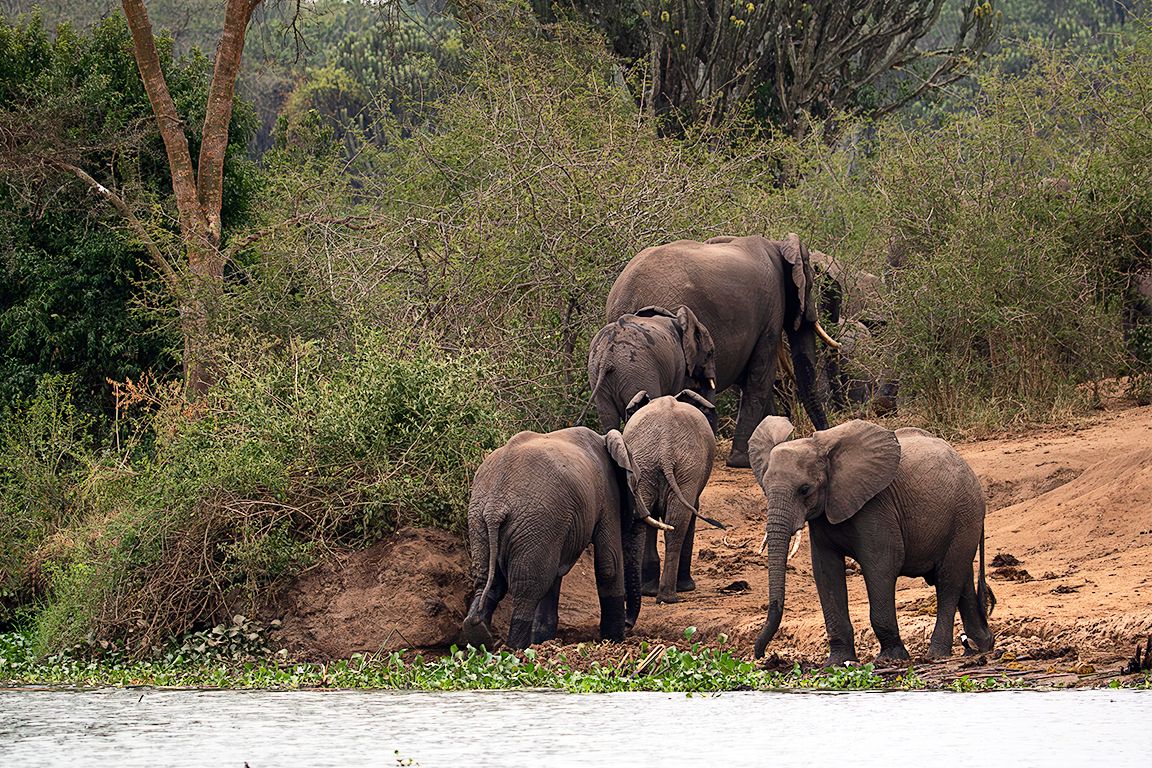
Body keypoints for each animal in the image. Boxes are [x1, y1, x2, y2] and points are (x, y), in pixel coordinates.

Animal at [458, 426, 671, 650]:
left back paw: (479, 634)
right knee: (527, 589)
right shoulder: (607, 494)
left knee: (489, 582)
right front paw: (613, 640)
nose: (629, 626)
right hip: (535, 521)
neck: (605, 439)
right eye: (636, 484)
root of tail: (495, 507)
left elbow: (556, 573)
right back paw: (517, 649)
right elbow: (609, 565)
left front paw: (544, 639)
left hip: (480, 521)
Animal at [587, 305, 716, 432]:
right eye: (710, 353)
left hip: (597, 374)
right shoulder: (679, 363)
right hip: (636, 372)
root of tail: (606, 357)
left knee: (609, 418)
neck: (680, 320)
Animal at [620, 390, 716, 607]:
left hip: (651, 466)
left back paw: (657, 594)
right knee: (676, 523)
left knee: (657, 521)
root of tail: (665, 450)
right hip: (680, 468)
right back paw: (665, 594)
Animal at [748, 417, 995, 665]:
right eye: (765, 490)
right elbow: (826, 571)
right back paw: (981, 645)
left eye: (804, 489)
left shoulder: (877, 506)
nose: (763, 656)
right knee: (962, 578)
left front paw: (890, 658)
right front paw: (836, 662)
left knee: (948, 580)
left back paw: (937, 654)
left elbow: (881, 565)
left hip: (965, 515)